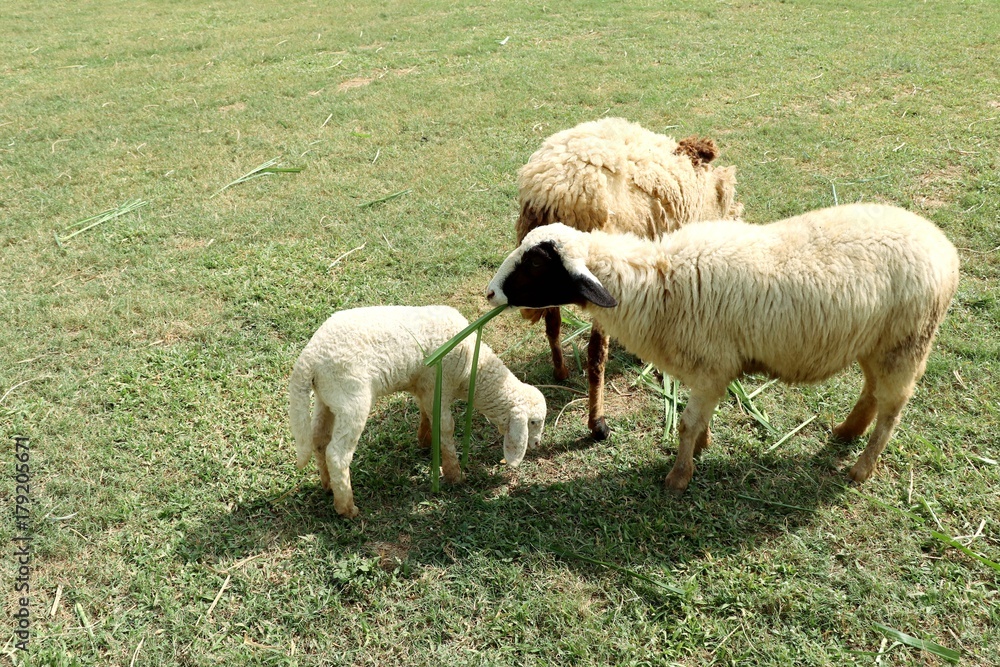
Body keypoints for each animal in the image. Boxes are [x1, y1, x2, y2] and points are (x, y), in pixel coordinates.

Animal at [289, 305, 547, 517]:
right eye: (534, 422)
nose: (536, 445)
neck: (474, 371)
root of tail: (309, 358)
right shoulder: (439, 385)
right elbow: (446, 427)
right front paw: (454, 474)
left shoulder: (426, 387)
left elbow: (426, 413)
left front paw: (425, 440)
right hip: (352, 398)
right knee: (337, 454)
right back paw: (346, 508)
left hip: (328, 398)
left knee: (319, 440)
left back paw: (328, 486)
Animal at [486, 203, 959, 491]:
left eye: (535, 264)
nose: (489, 293)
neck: (658, 281)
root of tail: (944, 247)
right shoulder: (708, 371)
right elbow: (699, 419)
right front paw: (703, 447)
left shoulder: (712, 366)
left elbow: (686, 423)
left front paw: (679, 476)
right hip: (876, 341)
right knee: (871, 390)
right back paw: (847, 431)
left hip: (907, 343)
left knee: (892, 410)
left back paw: (862, 467)